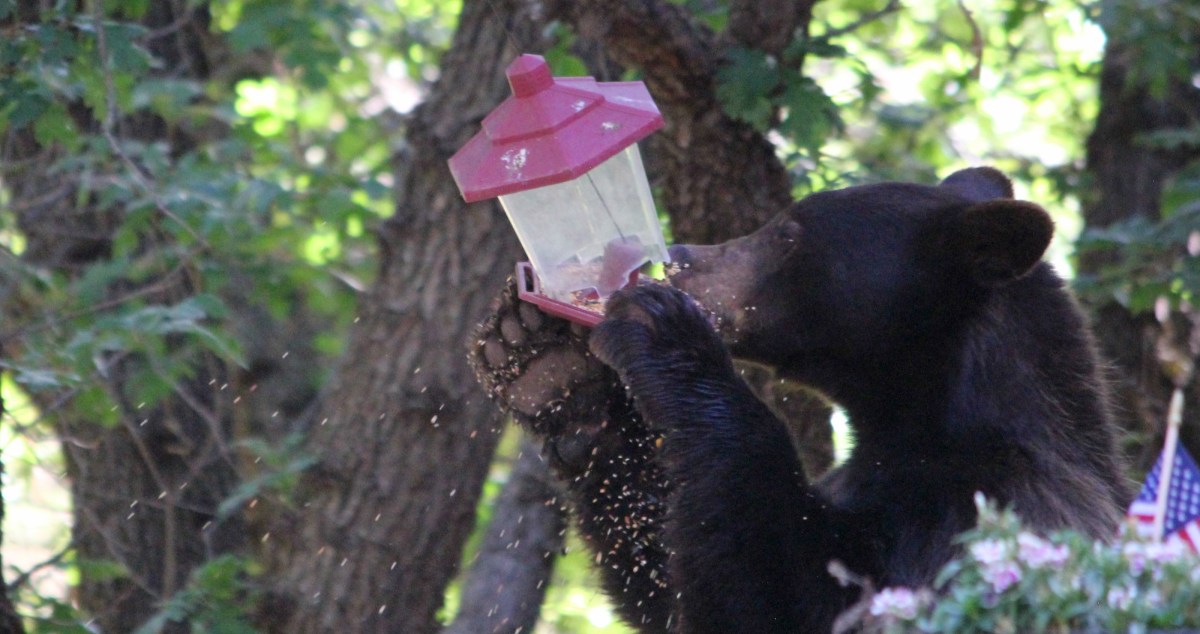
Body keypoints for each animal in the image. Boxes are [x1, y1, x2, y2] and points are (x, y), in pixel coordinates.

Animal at [471, 167, 1130, 634]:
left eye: (788, 233)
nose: (680, 257)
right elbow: (668, 570)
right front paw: (544, 365)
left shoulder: (987, 513)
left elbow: (788, 598)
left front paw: (662, 328)